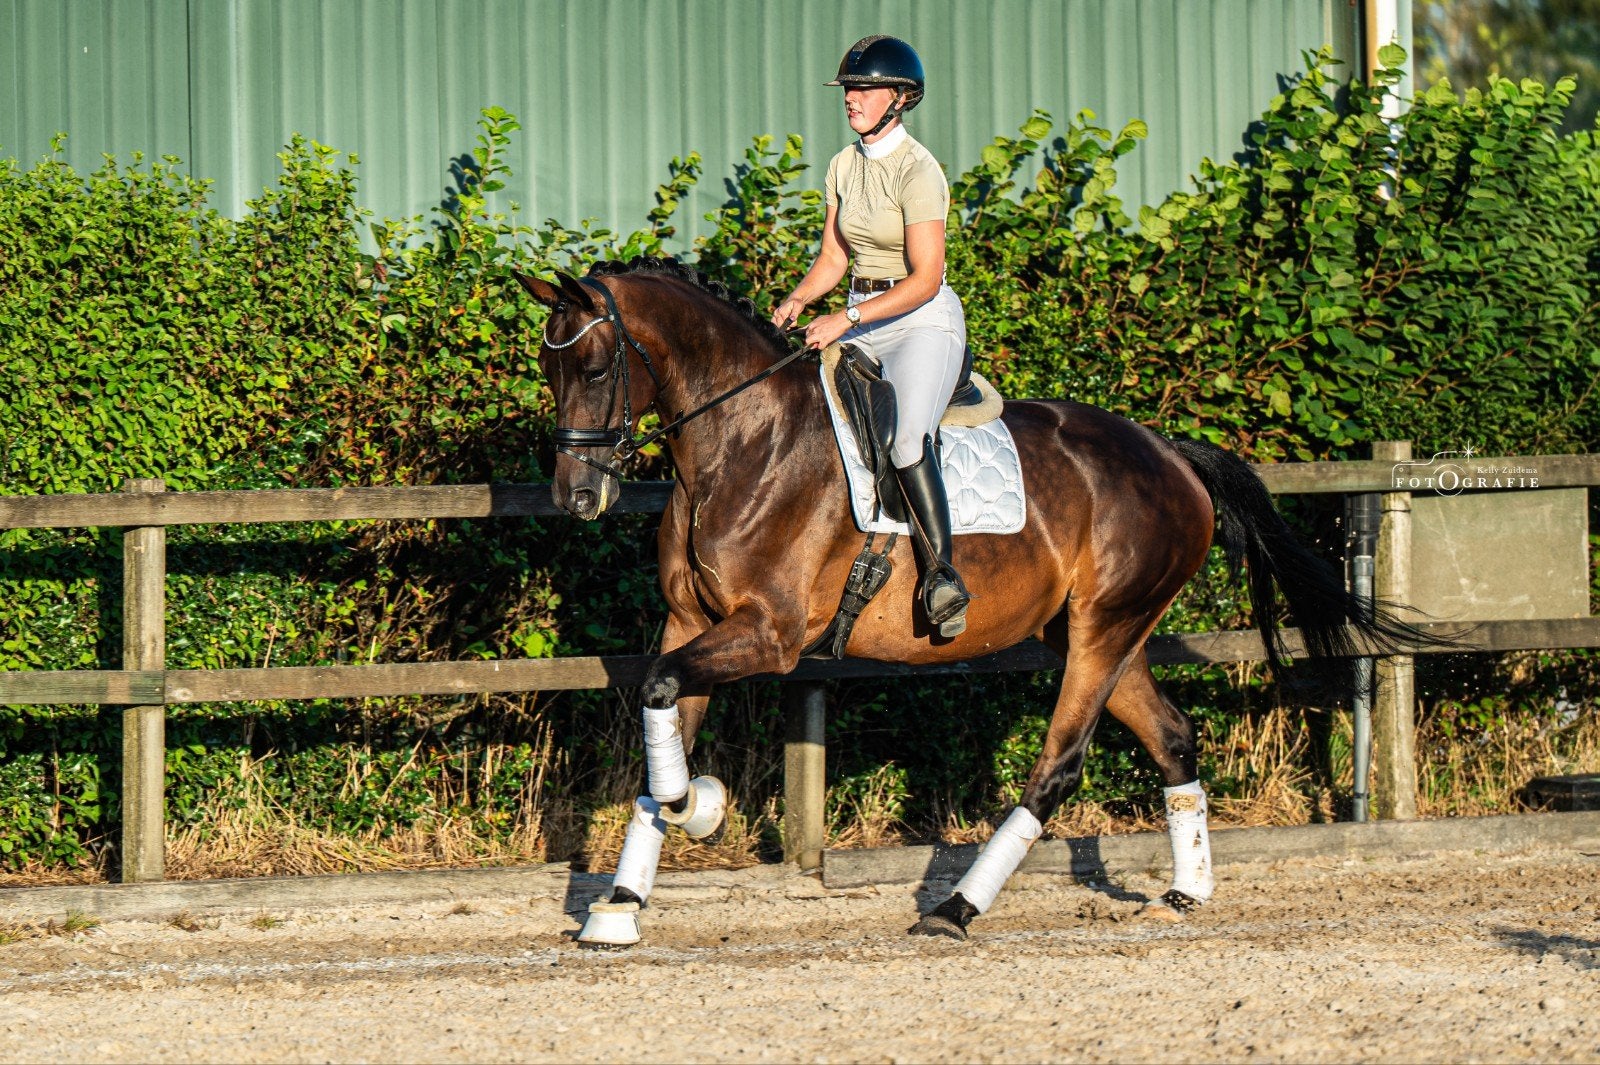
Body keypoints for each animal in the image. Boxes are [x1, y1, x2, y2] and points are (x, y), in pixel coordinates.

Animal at [516, 256, 1413, 946]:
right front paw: (622, 902)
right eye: (549, 371)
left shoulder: (767, 634)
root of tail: (1171, 454)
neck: (744, 439)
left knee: (1057, 766)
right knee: (1173, 736)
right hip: (1093, 633)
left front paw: (699, 806)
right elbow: (660, 709)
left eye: (593, 369)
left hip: (1104, 628)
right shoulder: (693, 620)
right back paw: (1186, 890)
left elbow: (661, 693)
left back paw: (954, 907)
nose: (578, 496)